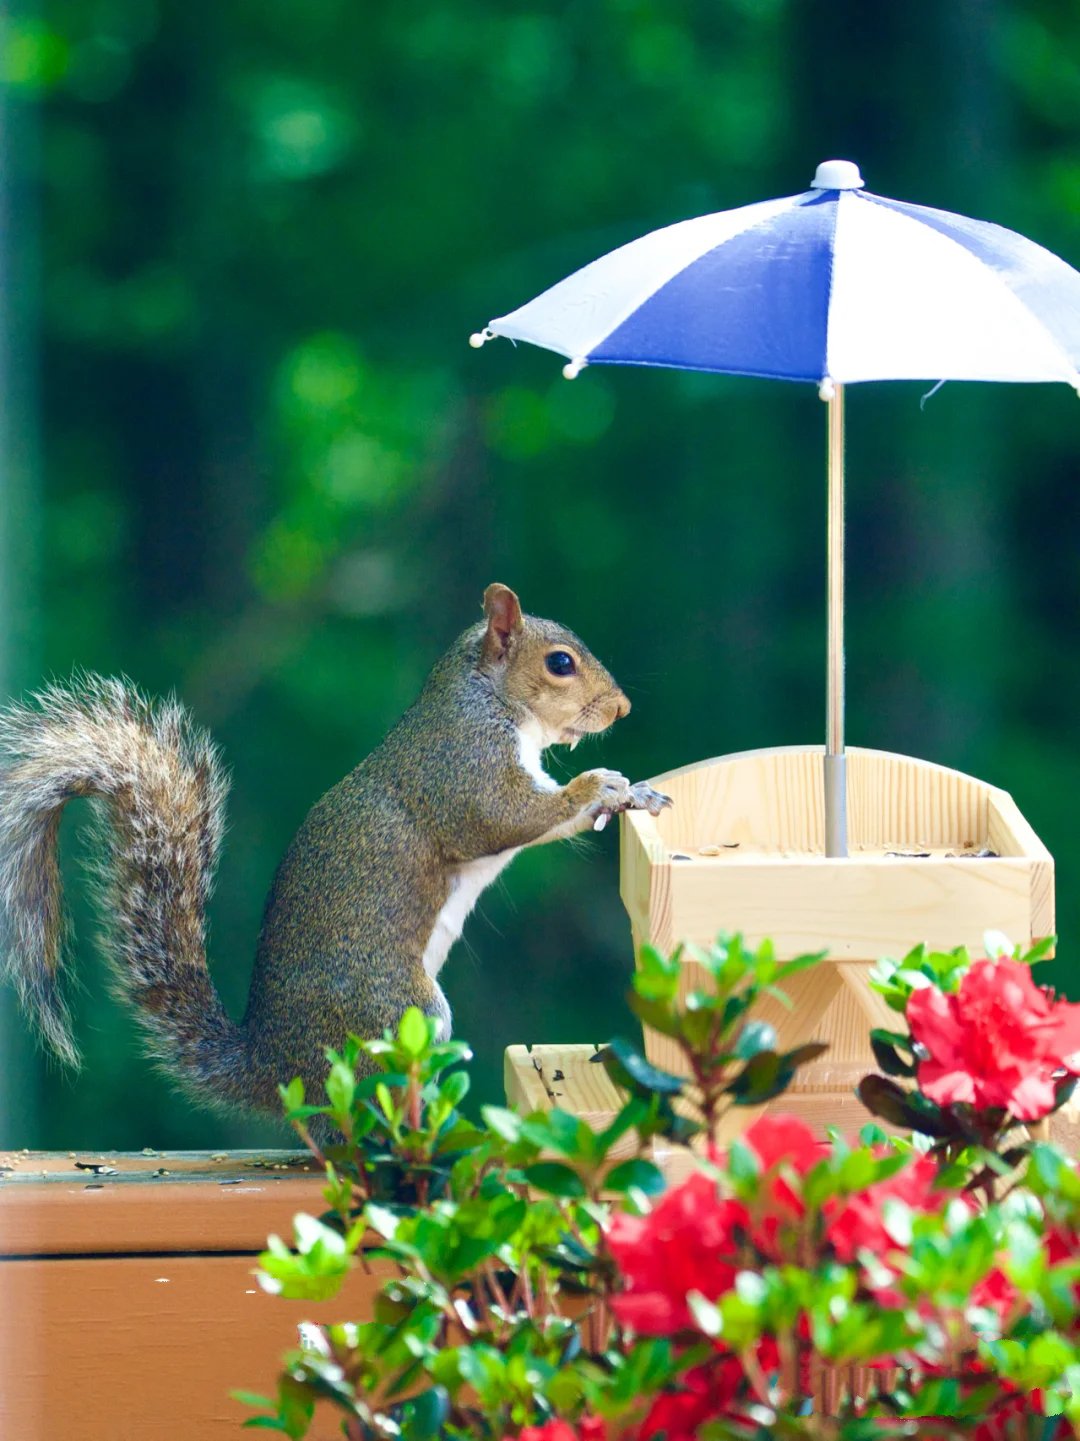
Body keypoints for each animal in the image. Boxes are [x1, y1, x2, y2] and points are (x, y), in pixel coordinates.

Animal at [0, 585, 669, 1123]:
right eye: (560, 664)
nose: (623, 709)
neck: (488, 699)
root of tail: (274, 1069)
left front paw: (637, 792)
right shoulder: (462, 768)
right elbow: (506, 816)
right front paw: (598, 786)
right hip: (396, 1014)